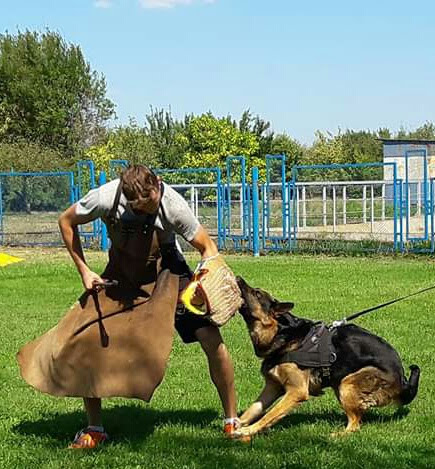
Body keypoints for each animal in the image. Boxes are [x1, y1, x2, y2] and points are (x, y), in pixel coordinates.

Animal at [235, 276, 422, 436]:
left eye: (257, 294)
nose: (238, 278)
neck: (281, 333)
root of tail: (403, 379)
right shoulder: (272, 387)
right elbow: (253, 410)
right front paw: (237, 424)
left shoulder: (296, 391)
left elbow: (269, 415)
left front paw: (248, 431)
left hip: (347, 383)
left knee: (355, 424)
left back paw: (337, 435)